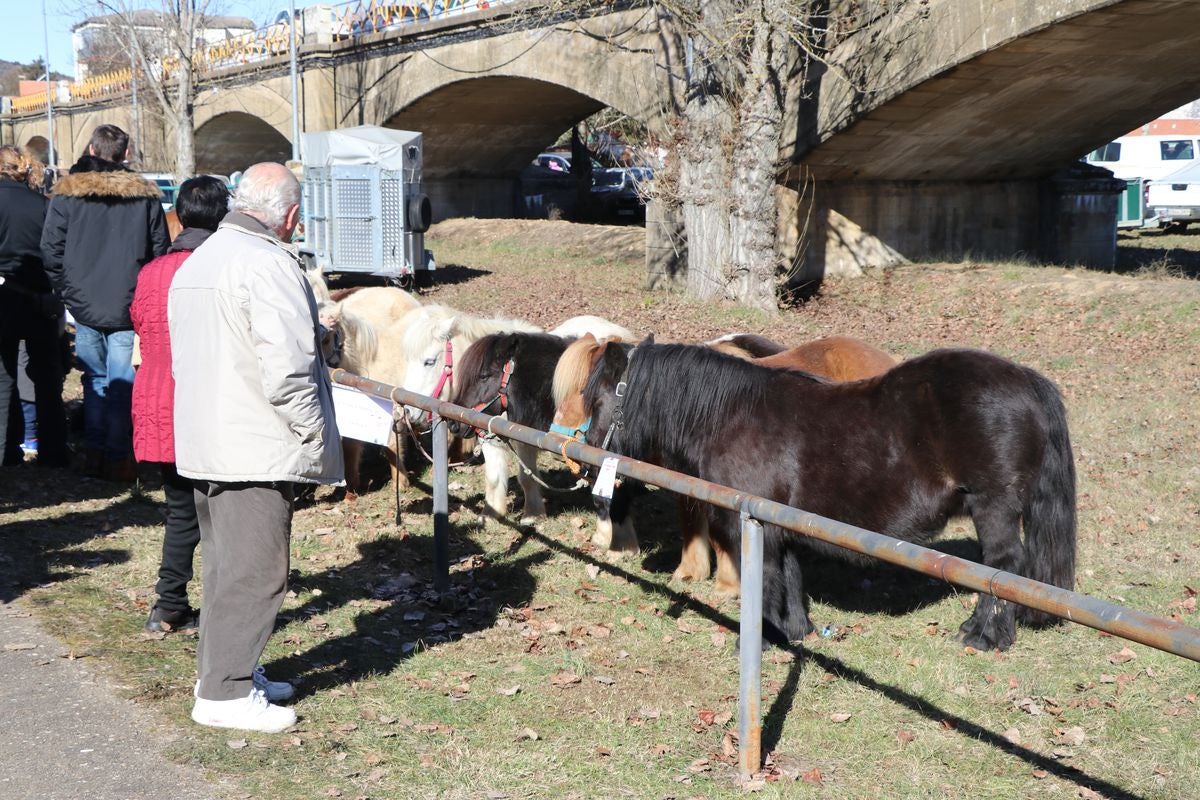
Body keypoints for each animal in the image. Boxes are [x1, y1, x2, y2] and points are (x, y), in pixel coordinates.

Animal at [561, 338, 1080, 652]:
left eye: (598, 398)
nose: (585, 461)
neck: (730, 415)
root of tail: (1026, 380)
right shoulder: (780, 525)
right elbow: (790, 579)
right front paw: (796, 633)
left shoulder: (755, 528)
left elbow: (766, 582)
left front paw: (760, 640)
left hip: (993, 506)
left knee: (1003, 567)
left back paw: (984, 635)